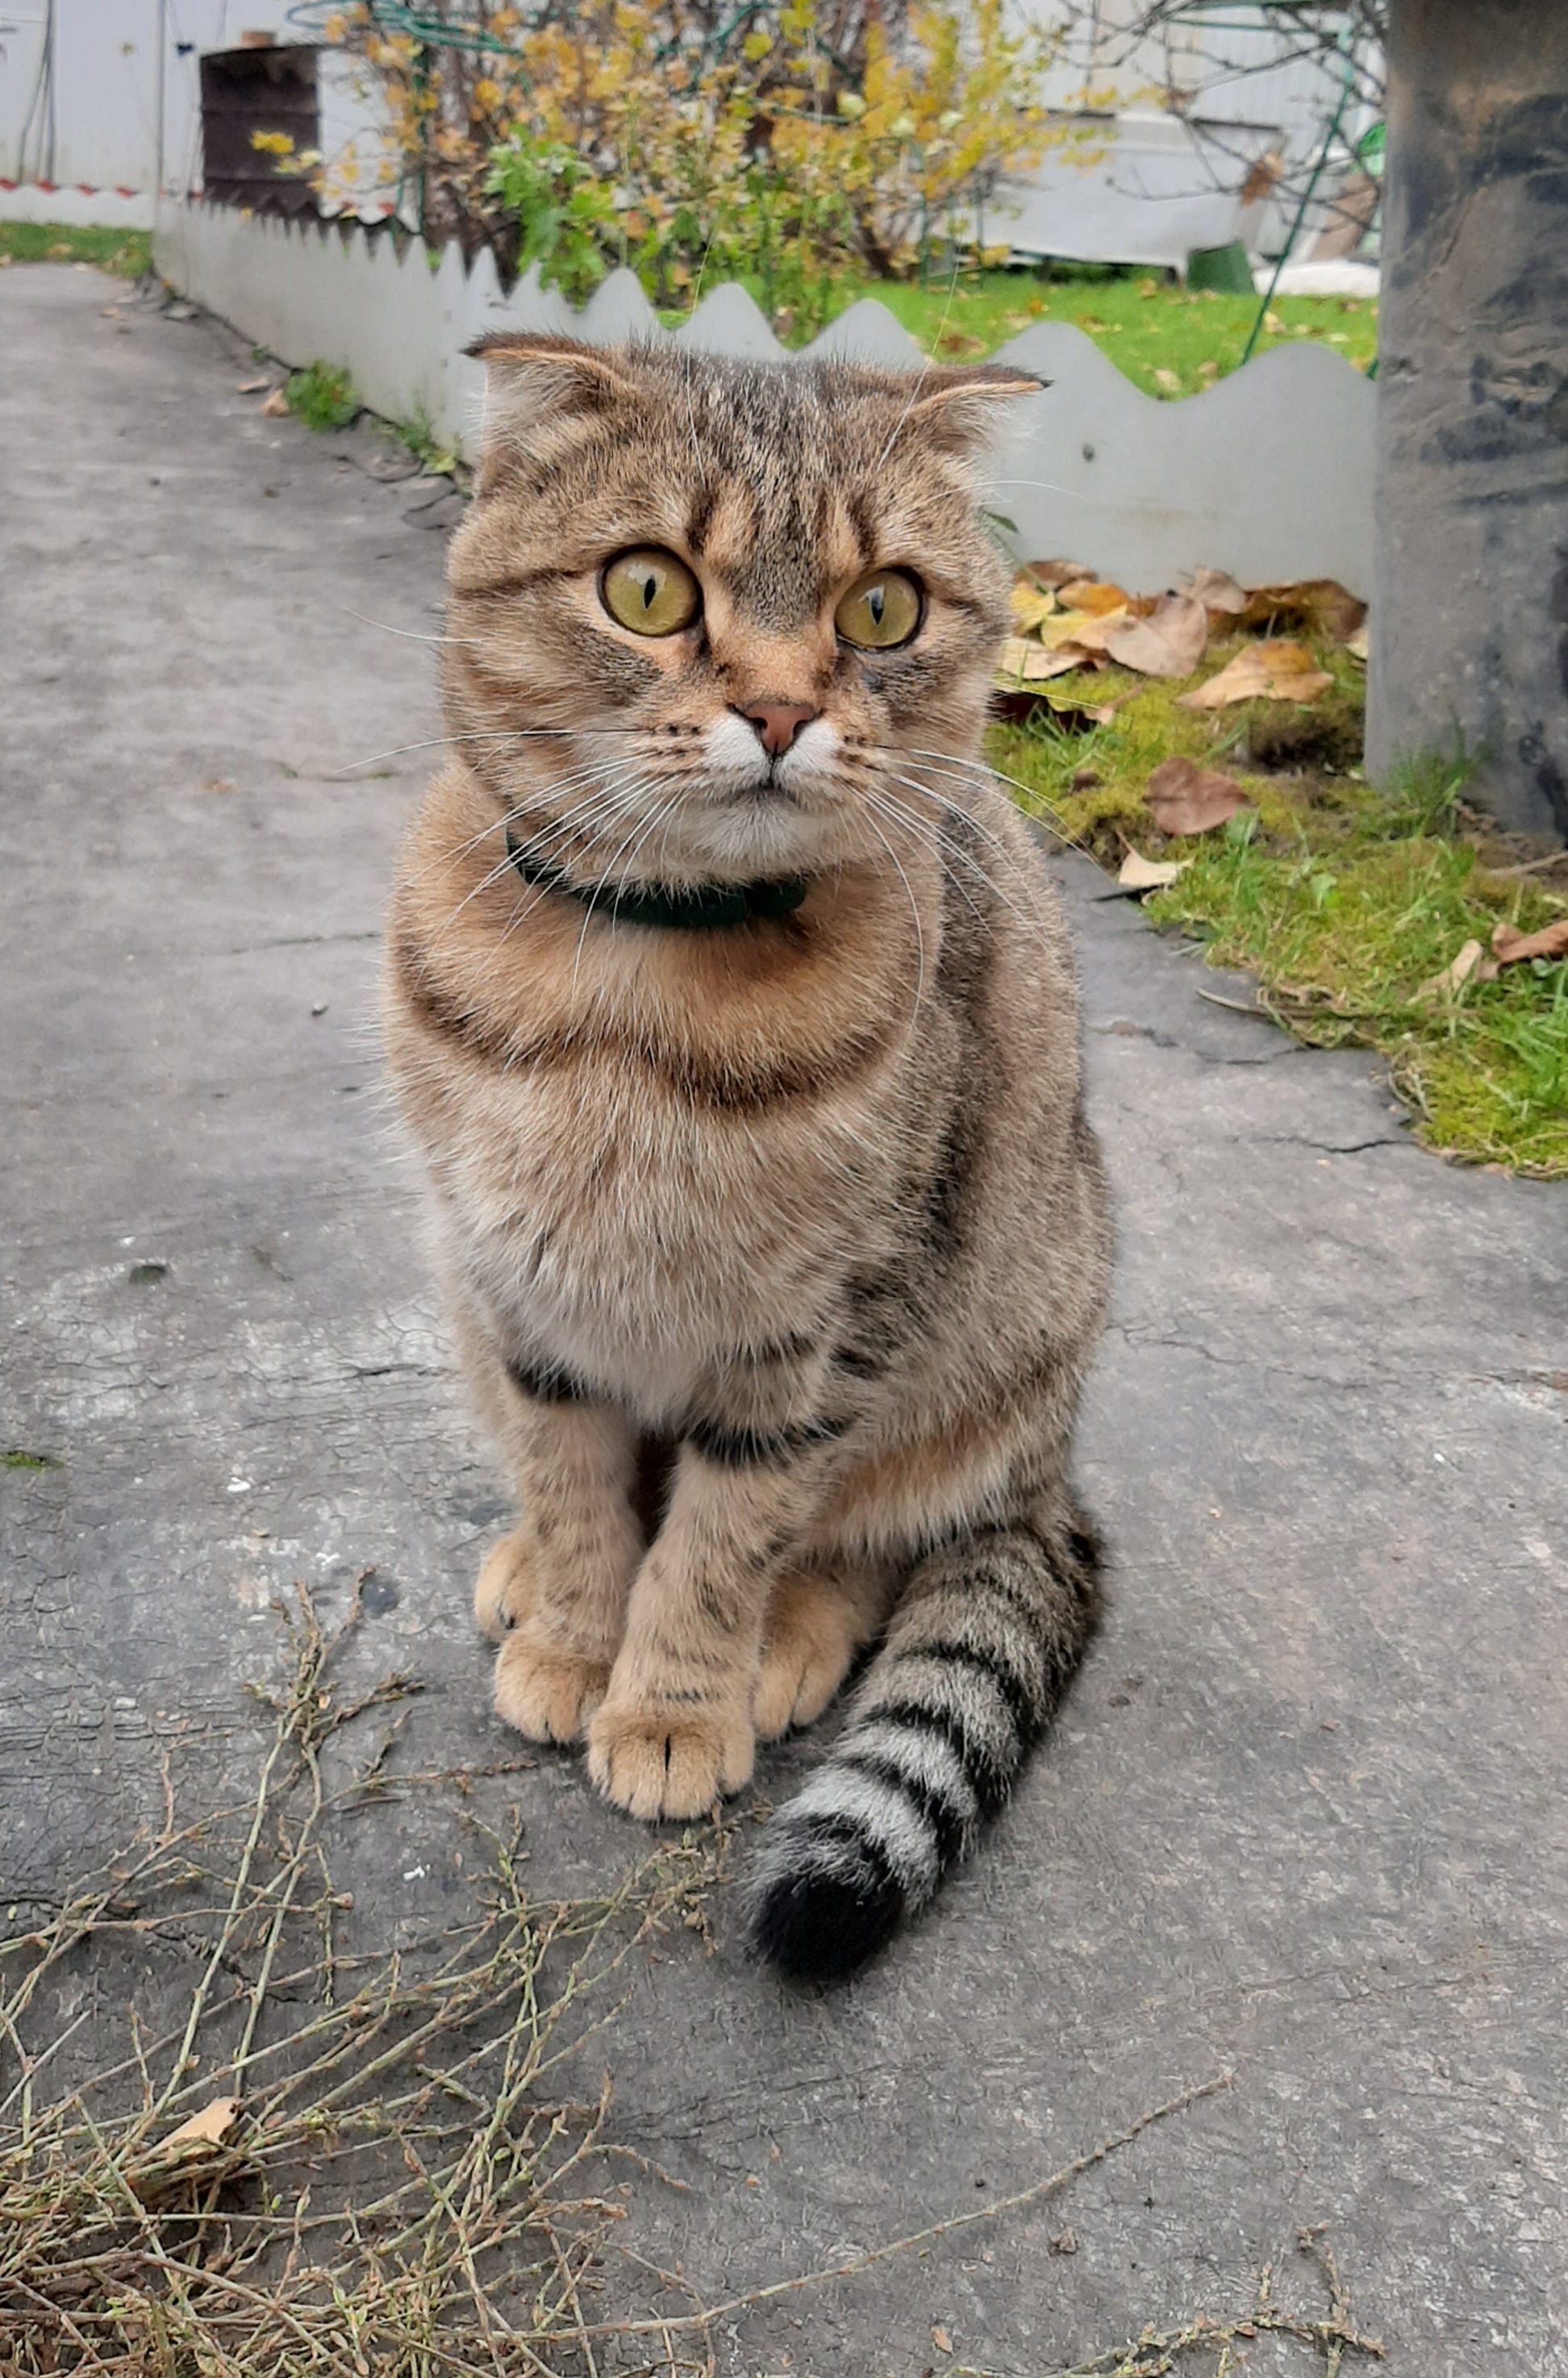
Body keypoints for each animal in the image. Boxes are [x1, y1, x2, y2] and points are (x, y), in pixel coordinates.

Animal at [385, 325, 1108, 1978]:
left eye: (881, 607)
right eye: (647, 588)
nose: (781, 714)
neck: (633, 988)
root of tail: (1054, 1465)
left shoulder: (824, 1336)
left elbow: (723, 1536)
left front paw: (669, 1701)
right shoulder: (523, 1296)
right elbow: (580, 1489)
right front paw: (574, 1635)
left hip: (983, 1362)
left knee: (866, 1539)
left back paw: (786, 1641)